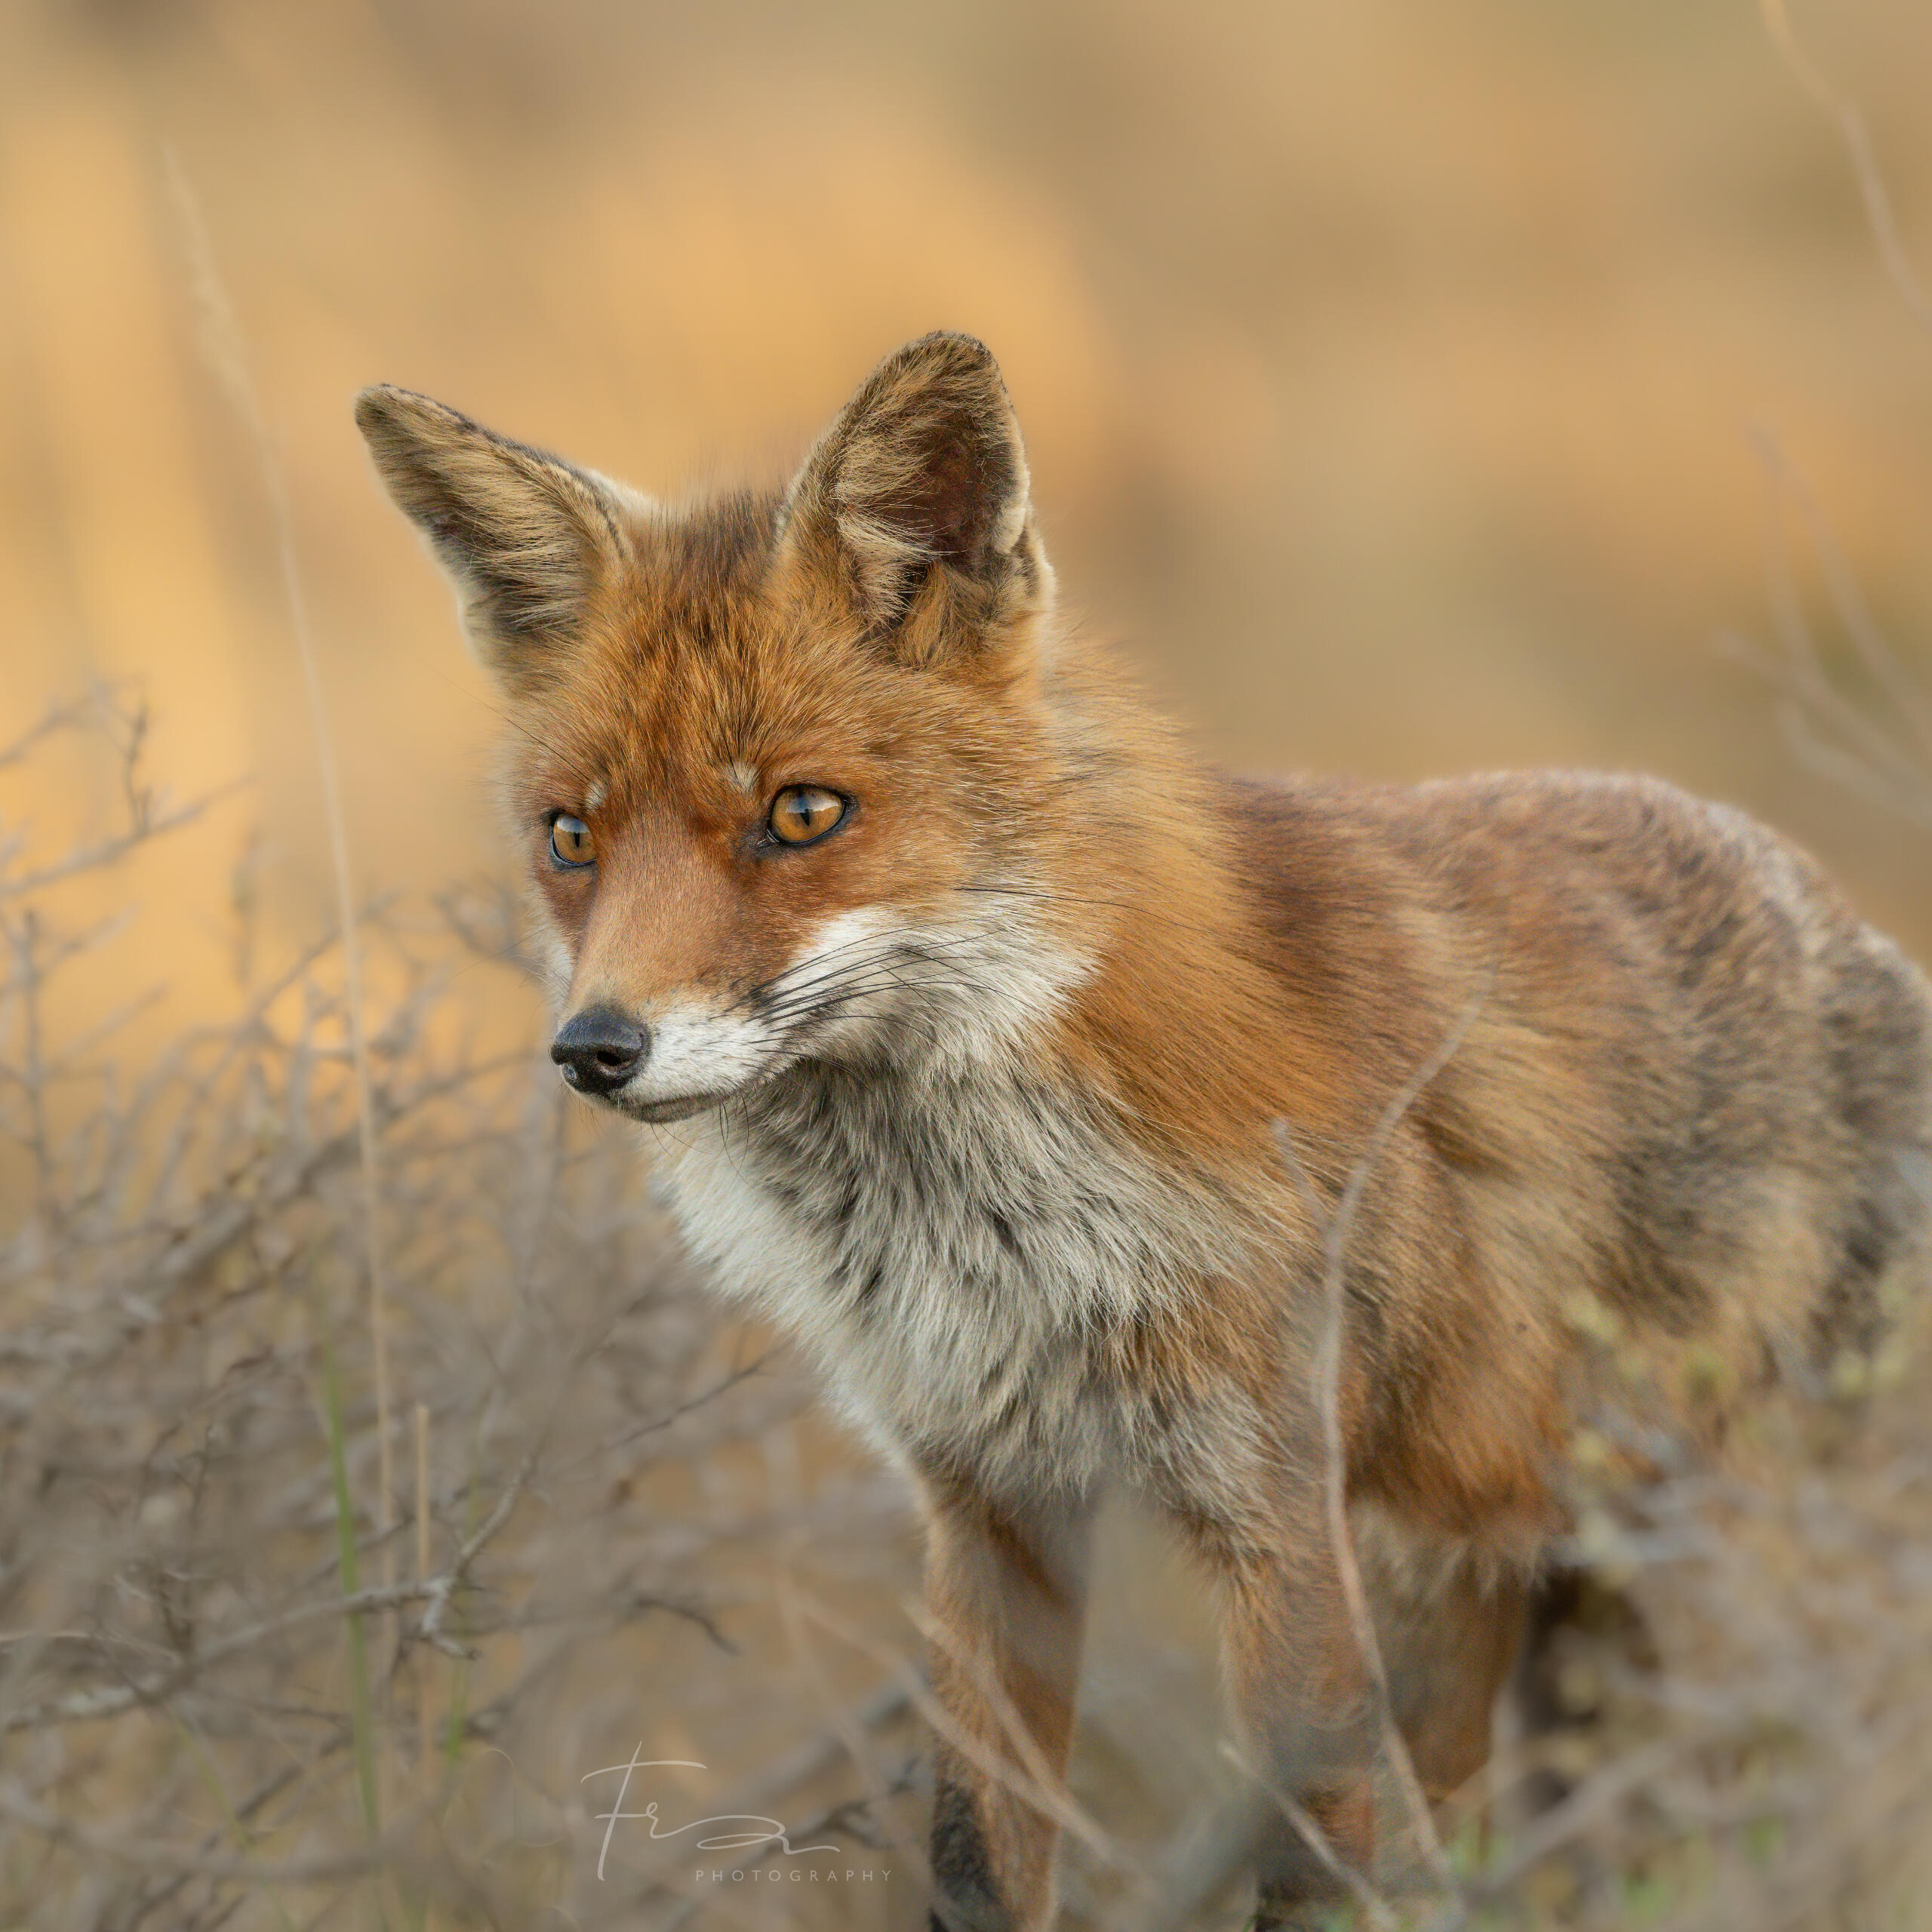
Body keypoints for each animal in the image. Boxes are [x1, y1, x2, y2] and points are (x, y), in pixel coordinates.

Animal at [356, 332, 1932, 1929]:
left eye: (802, 814)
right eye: (571, 838)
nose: (594, 1050)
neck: (983, 1232)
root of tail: (1850, 918)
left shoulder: (1281, 1511)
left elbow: (1313, 1871)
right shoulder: (989, 1509)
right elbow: (977, 1862)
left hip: (1671, 1583)